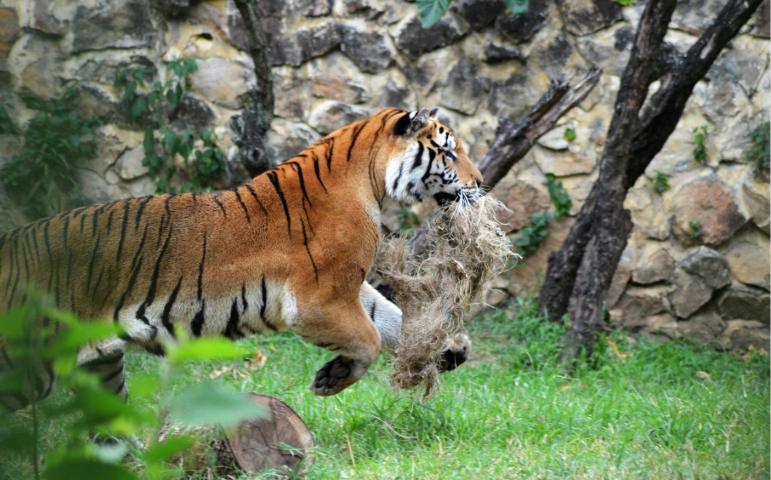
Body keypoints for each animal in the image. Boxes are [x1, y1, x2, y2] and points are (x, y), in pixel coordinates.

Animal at [0, 107, 483, 410]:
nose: (482, 182)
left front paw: (451, 345)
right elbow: (370, 338)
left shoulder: (346, 289)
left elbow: (389, 317)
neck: (370, 178)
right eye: (448, 151)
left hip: (99, 366)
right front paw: (331, 380)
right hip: (24, 361)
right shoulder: (317, 301)